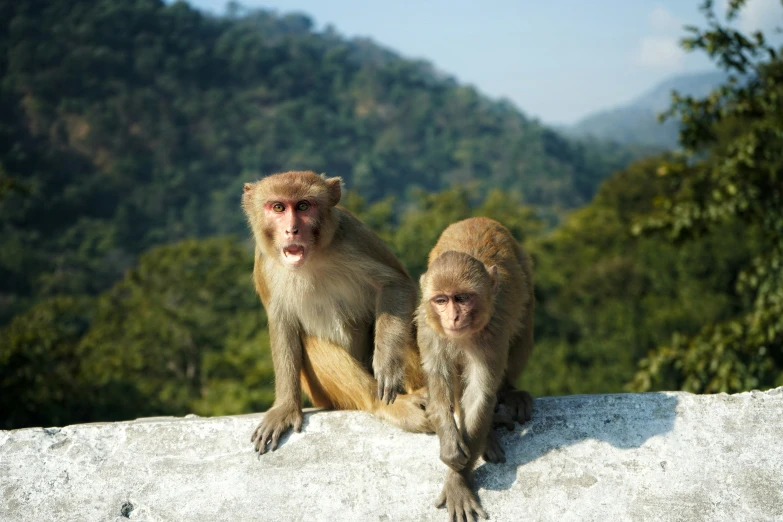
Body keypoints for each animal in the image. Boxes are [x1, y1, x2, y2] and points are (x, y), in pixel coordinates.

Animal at [242, 170, 432, 450]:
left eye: (303, 206)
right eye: (278, 207)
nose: (291, 229)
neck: (312, 259)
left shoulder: (353, 236)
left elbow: (395, 284)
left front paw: (387, 363)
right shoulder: (265, 264)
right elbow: (283, 325)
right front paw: (285, 408)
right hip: (323, 395)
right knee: (311, 342)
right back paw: (383, 405)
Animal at [416, 216, 532, 520]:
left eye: (462, 298)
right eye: (441, 300)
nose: (454, 318)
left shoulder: (493, 330)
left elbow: (480, 394)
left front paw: (458, 480)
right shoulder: (429, 327)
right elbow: (439, 383)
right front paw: (450, 449)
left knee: (523, 331)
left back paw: (508, 394)